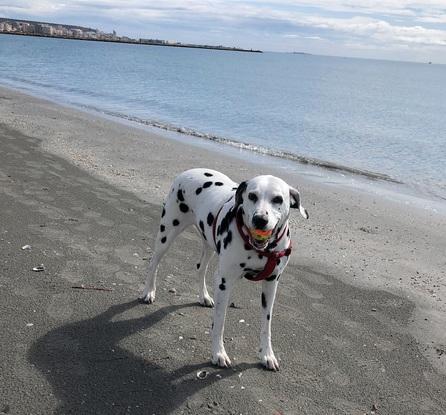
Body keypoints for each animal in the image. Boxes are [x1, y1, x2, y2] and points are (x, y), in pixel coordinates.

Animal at [141, 168, 308, 370]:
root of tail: (188, 171)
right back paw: (149, 291)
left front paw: (267, 355)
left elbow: (266, 325)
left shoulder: (271, 284)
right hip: (167, 234)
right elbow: (219, 323)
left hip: (208, 243)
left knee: (200, 268)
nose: (260, 219)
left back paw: (204, 296)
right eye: (252, 195)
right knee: (154, 262)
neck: (261, 249)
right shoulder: (224, 282)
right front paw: (218, 353)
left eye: (278, 199)